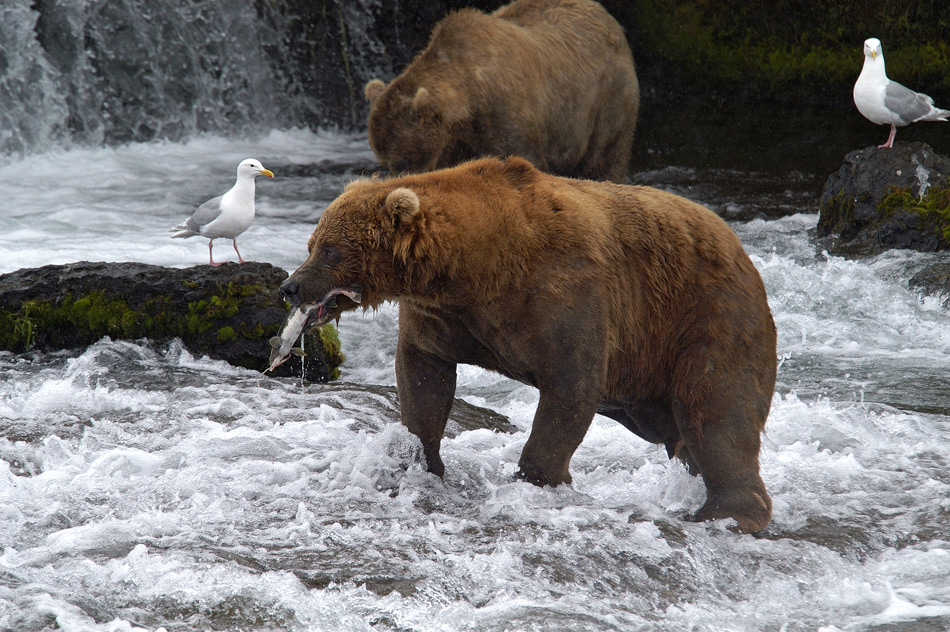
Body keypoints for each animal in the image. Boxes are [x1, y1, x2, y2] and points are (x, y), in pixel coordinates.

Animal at [278, 158, 776, 532]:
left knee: (715, 412)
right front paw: (419, 463)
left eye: (330, 249)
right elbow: (423, 378)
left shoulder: (566, 295)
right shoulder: (446, 318)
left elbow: (570, 390)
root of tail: (743, 254)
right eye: (312, 242)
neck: (475, 269)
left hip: (701, 322)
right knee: (676, 426)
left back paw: (728, 511)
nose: (290, 286)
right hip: (647, 379)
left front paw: (537, 478)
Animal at [364, 0, 640, 183]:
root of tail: (608, 17)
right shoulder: (454, 140)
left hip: (607, 95)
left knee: (604, 156)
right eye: (386, 162)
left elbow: (522, 158)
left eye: (402, 161)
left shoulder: (506, 114)